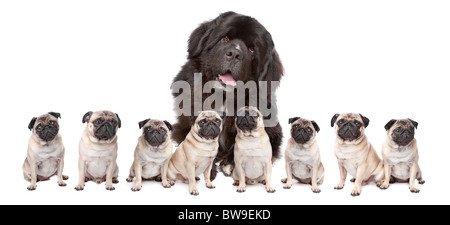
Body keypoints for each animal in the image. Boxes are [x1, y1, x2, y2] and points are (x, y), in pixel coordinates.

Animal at [171, 11, 284, 181]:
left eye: (251, 50)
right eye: (225, 38)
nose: (235, 53)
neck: (223, 98)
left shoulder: (272, 132)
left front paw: (231, 163)